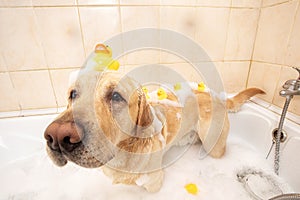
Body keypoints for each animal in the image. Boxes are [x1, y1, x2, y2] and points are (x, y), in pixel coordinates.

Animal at [44, 70, 264, 192]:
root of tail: (216, 94)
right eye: (73, 94)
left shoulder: (154, 184)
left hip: (214, 145)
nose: (57, 136)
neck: (123, 155)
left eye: (116, 96)